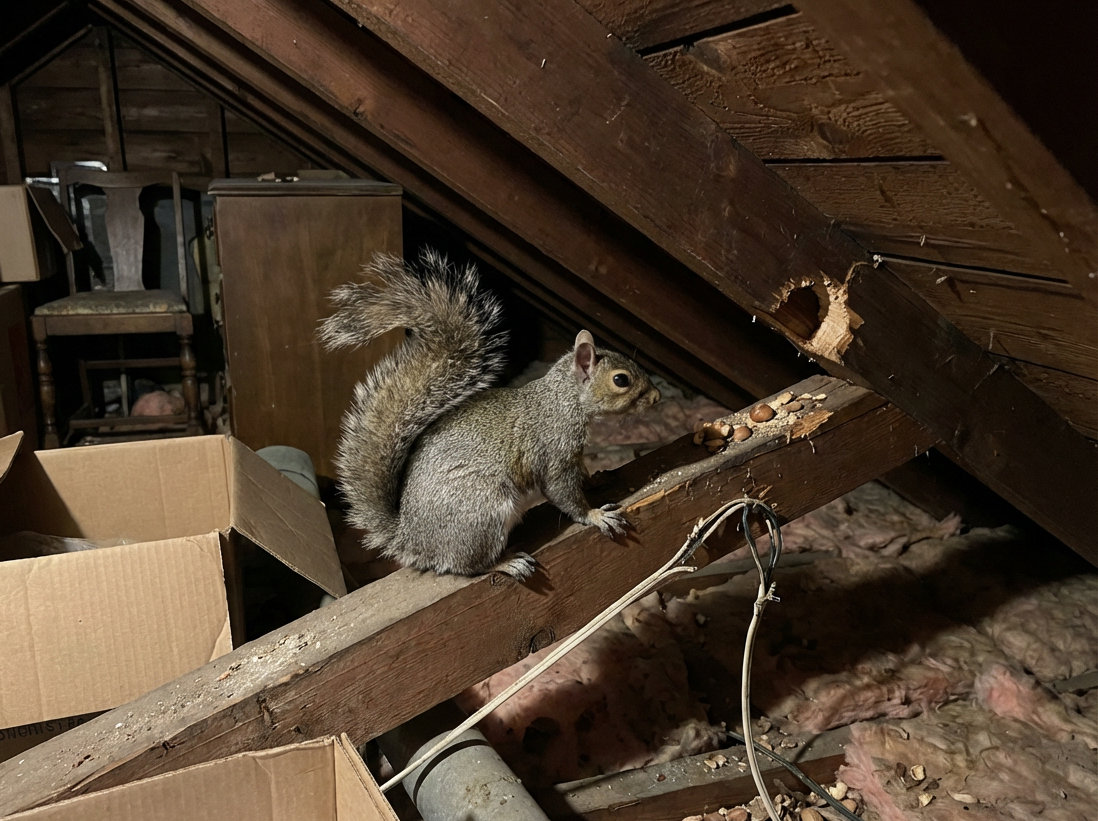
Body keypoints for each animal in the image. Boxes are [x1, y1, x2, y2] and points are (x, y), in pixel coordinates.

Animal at [319, 250, 661, 581]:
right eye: (621, 380)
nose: (657, 397)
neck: (562, 400)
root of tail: (411, 540)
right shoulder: (553, 453)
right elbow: (563, 494)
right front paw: (595, 515)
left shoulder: (573, 455)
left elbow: (582, 474)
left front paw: (597, 479)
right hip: (484, 513)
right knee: (467, 566)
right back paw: (506, 563)